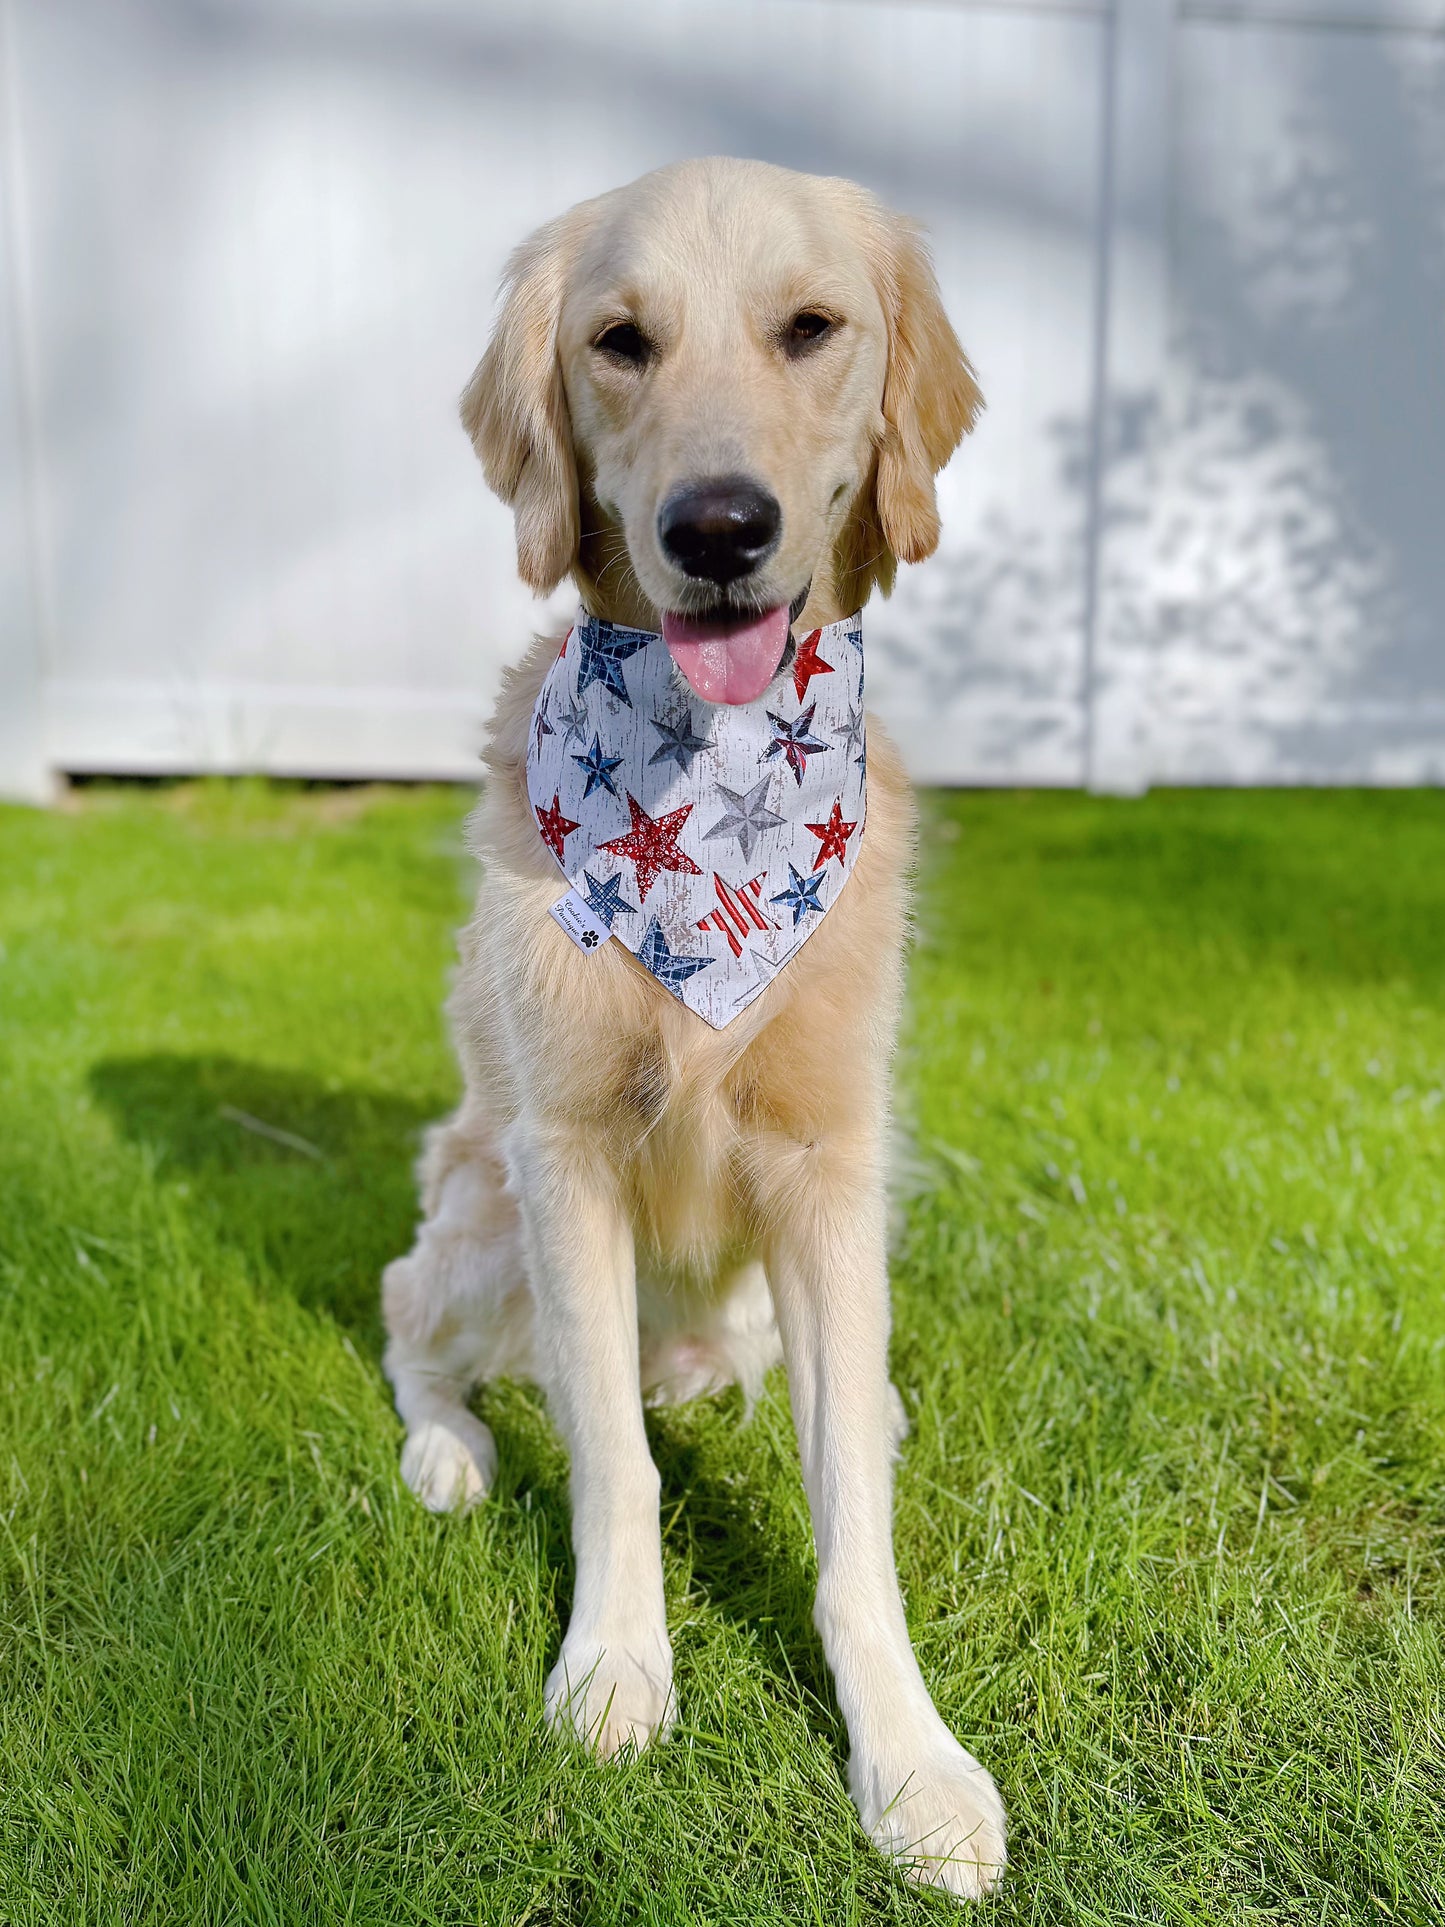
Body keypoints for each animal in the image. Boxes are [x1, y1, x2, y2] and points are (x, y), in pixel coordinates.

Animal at [381, 154, 1009, 1896]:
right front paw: (612, 1665)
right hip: (479, 1216)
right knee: (411, 1327)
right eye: (620, 340)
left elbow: (850, 1510)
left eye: (810, 327)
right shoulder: (566, 1158)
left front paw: (911, 1759)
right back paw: (449, 1448)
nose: (718, 527)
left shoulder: (828, 1170)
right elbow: (610, 1456)